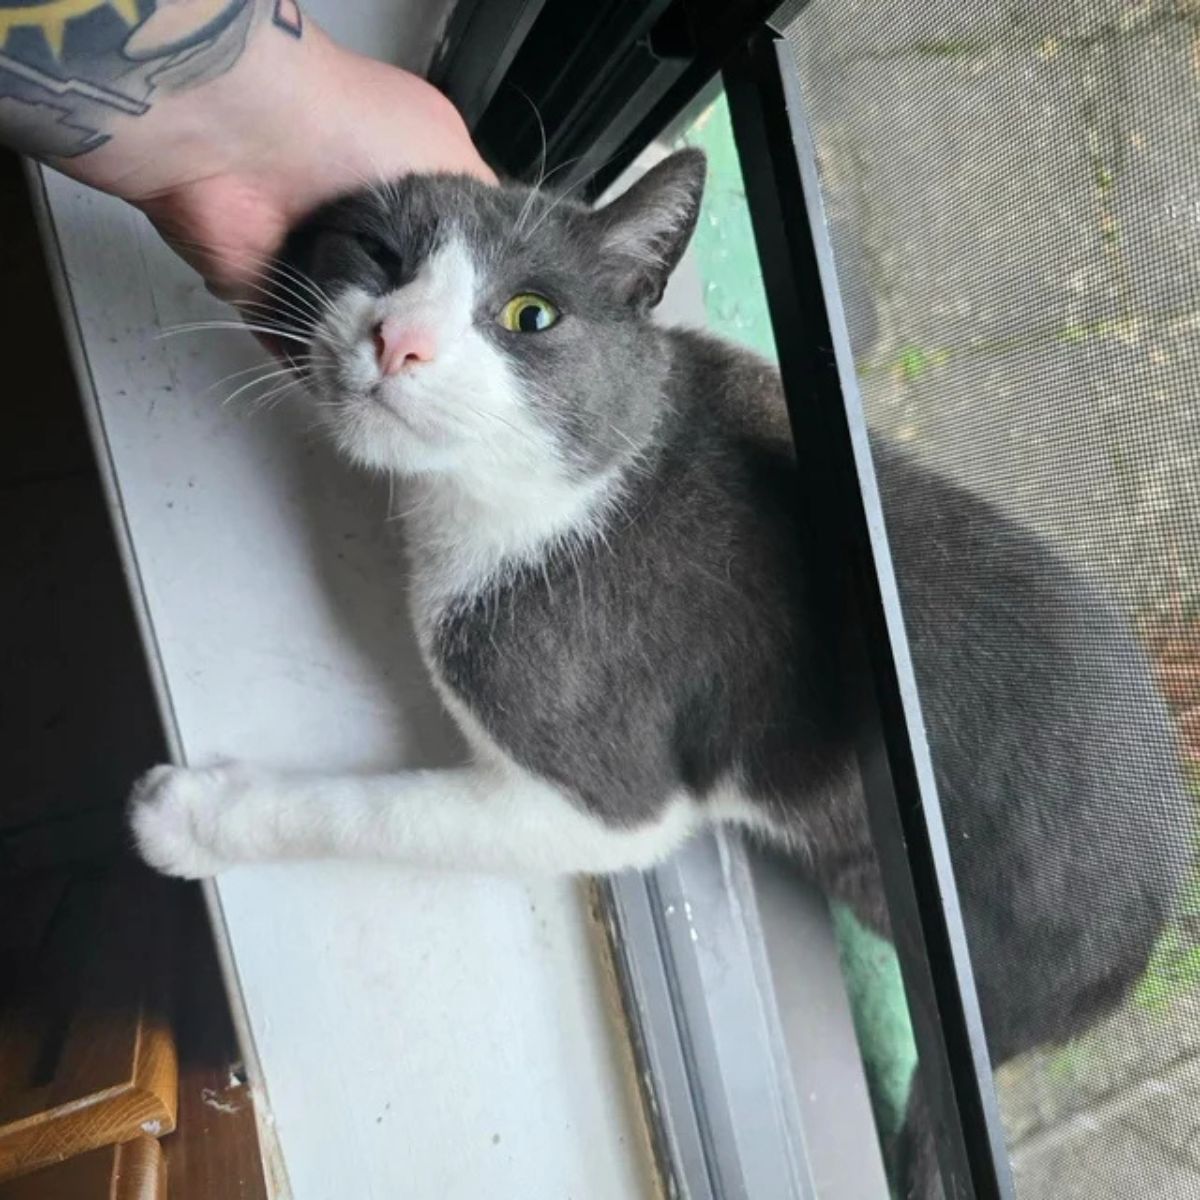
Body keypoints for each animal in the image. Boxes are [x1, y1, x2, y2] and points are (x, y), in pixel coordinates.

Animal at [129, 152, 1190, 1200]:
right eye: (379, 254)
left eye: (530, 315)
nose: (401, 340)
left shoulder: (602, 781)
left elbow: (384, 816)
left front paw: (194, 817)